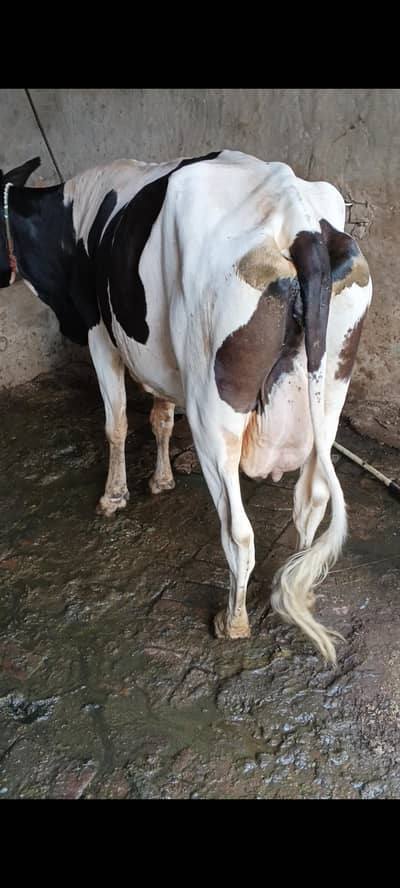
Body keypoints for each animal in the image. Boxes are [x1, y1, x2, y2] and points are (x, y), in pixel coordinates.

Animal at [0, 150, 372, 663]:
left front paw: (114, 496)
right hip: (332, 390)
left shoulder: (99, 331)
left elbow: (116, 422)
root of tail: (297, 218)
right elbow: (159, 417)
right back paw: (297, 581)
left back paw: (232, 621)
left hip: (211, 411)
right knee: (312, 500)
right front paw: (161, 480)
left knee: (239, 532)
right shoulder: (156, 351)